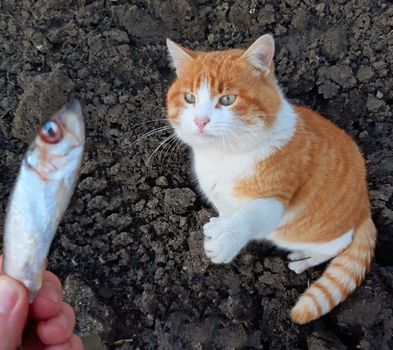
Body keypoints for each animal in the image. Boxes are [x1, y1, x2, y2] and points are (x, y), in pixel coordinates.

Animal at [164, 34, 376, 324]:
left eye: (227, 99)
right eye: (189, 98)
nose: (200, 121)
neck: (225, 154)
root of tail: (365, 205)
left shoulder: (274, 200)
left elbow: (248, 217)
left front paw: (225, 239)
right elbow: (228, 212)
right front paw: (219, 225)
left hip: (319, 236)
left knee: (334, 249)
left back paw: (302, 259)